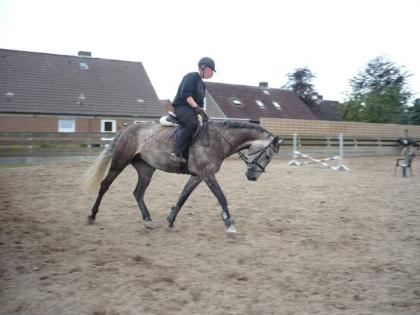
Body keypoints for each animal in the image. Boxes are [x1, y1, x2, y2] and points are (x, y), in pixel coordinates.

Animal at [83, 119, 280, 233]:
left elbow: (183, 196)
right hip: (120, 162)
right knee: (104, 185)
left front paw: (171, 219)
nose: (252, 177)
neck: (219, 139)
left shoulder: (198, 175)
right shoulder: (207, 174)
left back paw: (148, 220)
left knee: (138, 193)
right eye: (268, 156)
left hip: (146, 169)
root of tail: (127, 129)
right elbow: (221, 197)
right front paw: (229, 223)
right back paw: (92, 216)